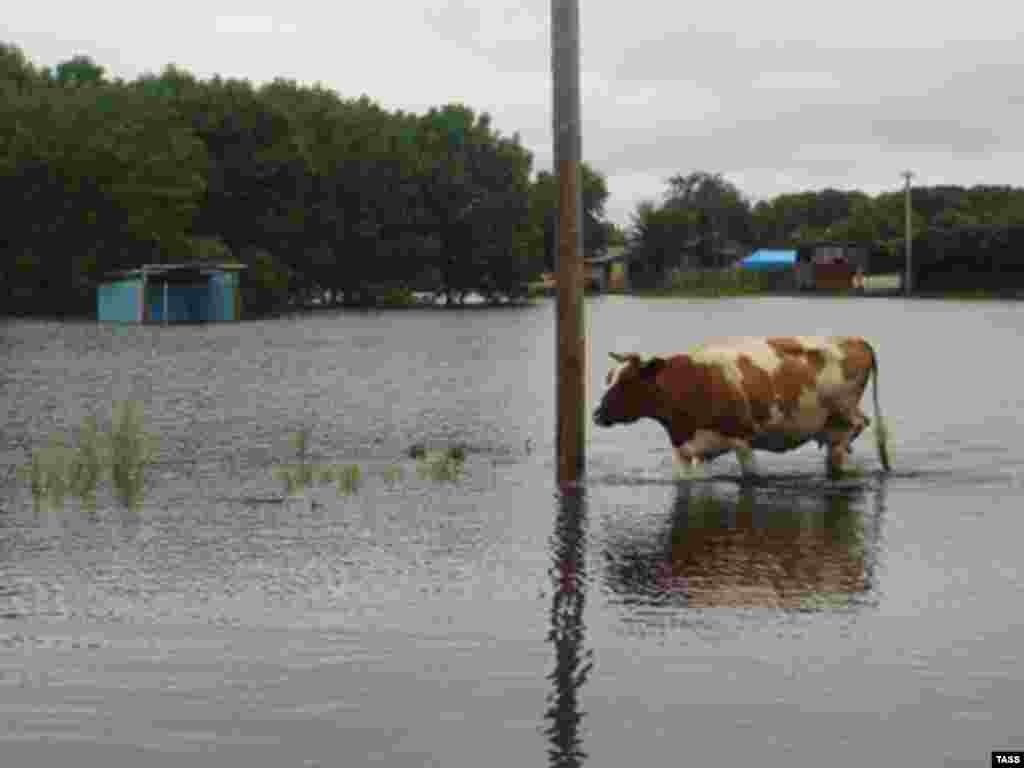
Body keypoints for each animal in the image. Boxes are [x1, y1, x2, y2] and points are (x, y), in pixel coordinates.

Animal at [593, 333, 888, 479]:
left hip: (844, 412)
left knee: (856, 427)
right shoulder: (688, 450)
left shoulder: (742, 440)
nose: (597, 414)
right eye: (609, 378)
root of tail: (855, 340)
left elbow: (751, 476)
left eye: (627, 382)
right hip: (831, 424)